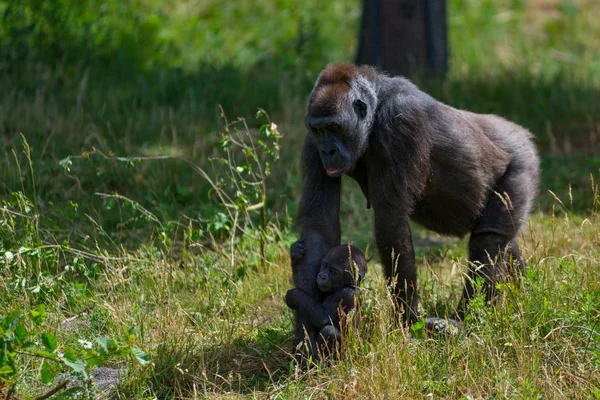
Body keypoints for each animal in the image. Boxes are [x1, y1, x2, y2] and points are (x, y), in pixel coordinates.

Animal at [292, 62, 540, 346]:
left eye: (335, 127)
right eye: (319, 130)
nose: (328, 151)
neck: (376, 106)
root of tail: (521, 133)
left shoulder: (401, 120)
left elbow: (391, 226)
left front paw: (407, 320)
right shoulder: (312, 141)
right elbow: (319, 227)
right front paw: (305, 328)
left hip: (522, 161)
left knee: (487, 241)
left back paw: (463, 322)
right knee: (502, 242)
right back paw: (520, 294)